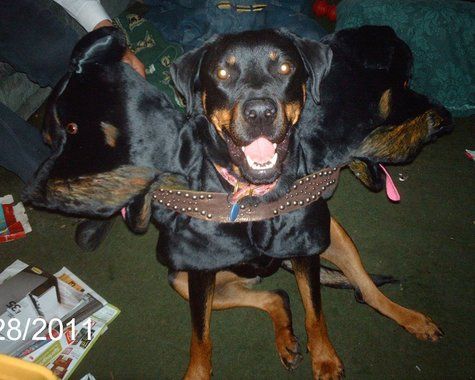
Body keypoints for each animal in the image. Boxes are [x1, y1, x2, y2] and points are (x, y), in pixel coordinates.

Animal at [25, 25, 454, 378]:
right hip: (184, 279)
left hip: (333, 234)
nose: (261, 111)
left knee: (364, 289)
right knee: (275, 295)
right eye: (222, 74)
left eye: (285, 68)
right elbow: (200, 338)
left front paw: (325, 361)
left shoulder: (306, 250)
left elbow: (316, 315)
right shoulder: (198, 273)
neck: (251, 199)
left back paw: (411, 319)